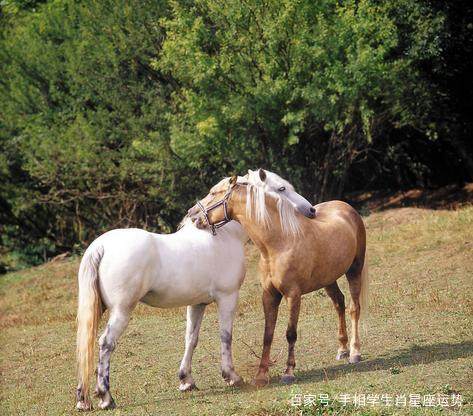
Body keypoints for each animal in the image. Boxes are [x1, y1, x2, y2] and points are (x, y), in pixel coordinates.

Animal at [75, 214, 245, 410]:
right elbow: (226, 337)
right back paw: (106, 397)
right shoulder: (227, 297)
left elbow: (191, 339)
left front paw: (186, 380)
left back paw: (82, 400)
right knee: (106, 343)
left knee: (85, 346)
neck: (224, 234)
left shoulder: (197, 303)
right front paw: (232, 376)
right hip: (121, 311)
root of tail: (101, 246)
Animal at [186, 170, 366, 386]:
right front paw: (261, 375)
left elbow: (290, 333)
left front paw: (288, 372)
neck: (279, 243)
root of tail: (345, 206)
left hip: (354, 270)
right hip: (328, 279)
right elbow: (268, 334)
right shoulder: (269, 295)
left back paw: (355, 352)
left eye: (213, 193)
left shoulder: (293, 295)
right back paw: (342, 349)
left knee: (354, 308)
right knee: (339, 303)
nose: (192, 215)